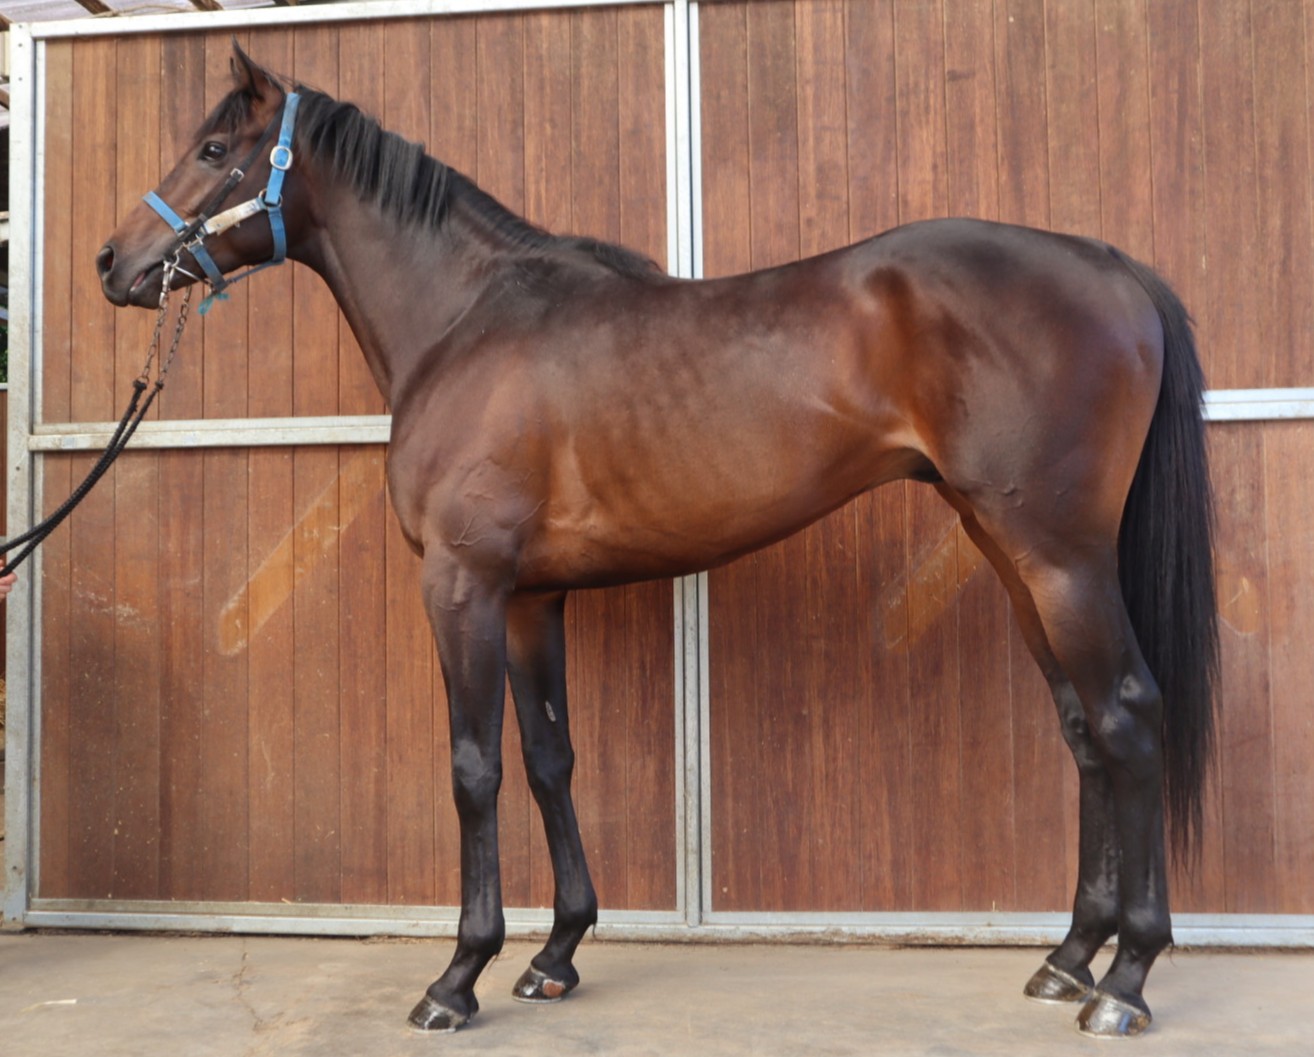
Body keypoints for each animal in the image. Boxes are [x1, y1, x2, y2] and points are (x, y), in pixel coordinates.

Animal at [96, 45, 1218, 1040]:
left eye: (211, 148)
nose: (114, 263)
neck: (466, 323)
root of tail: (1110, 266)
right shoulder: (531, 597)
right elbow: (549, 757)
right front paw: (555, 955)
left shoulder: (463, 585)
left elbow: (474, 768)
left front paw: (458, 977)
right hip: (1009, 551)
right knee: (1081, 729)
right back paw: (1069, 960)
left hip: (1060, 557)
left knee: (1128, 717)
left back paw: (1126, 979)